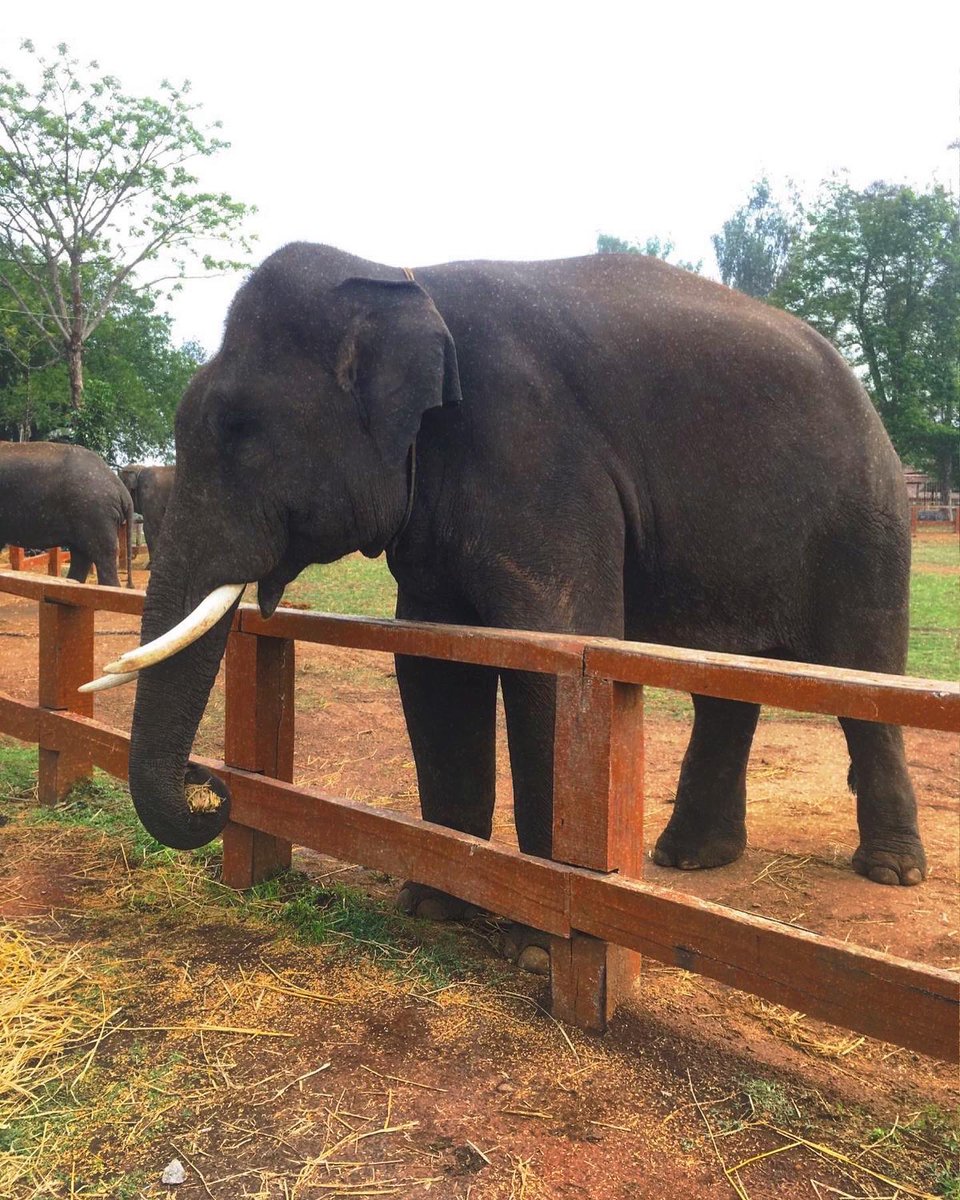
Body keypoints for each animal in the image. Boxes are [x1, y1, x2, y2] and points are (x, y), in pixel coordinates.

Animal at [118, 243, 925, 944]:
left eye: (238, 428)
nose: (210, 785)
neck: (402, 274)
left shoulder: (540, 458)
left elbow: (557, 651)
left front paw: (540, 944)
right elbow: (434, 664)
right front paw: (432, 907)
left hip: (866, 526)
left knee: (865, 672)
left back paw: (891, 872)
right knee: (723, 685)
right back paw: (688, 859)